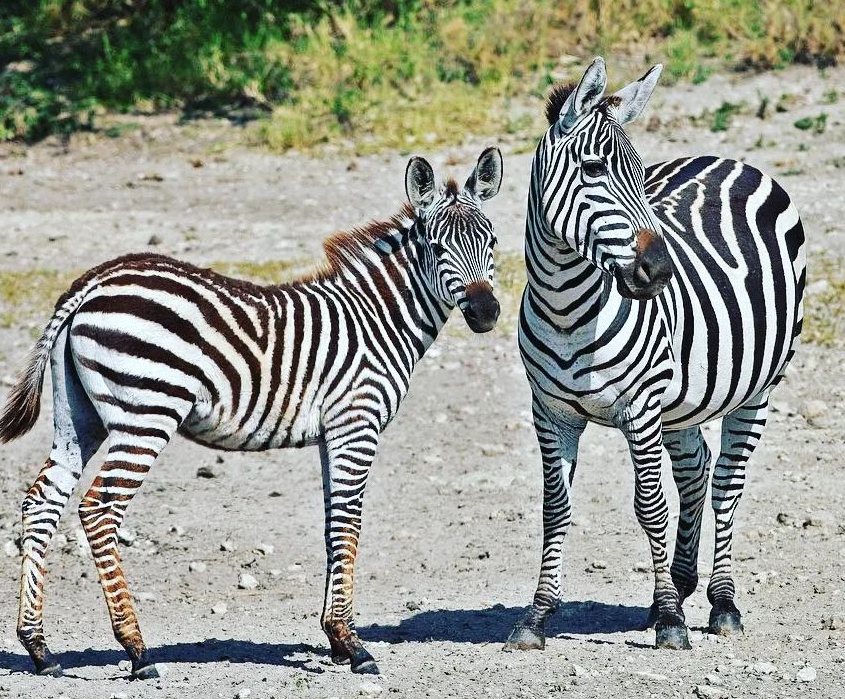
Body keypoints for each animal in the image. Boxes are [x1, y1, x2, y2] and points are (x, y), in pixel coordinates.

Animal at [0, 147, 503, 679]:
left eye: (491, 241)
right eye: (436, 246)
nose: (486, 313)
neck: (377, 320)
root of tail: (94, 282)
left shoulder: (333, 435)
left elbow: (332, 523)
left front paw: (336, 638)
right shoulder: (356, 424)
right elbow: (349, 521)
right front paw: (354, 645)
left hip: (80, 417)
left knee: (41, 502)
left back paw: (39, 648)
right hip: (147, 415)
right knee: (99, 509)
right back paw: (136, 650)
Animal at [503, 58, 805, 652]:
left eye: (639, 175)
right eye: (593, 169)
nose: (661, 272)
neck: (567, 310)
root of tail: (731, 159)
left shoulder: (641, 407)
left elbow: (650, 507)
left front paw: (670, 621)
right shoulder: (550, 413)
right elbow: (555, 509)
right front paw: (537, 617)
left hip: (756, 389)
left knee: (727, 483)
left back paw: (720, 604)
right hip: (683, 399)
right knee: (696, 467)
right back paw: (682, 584)